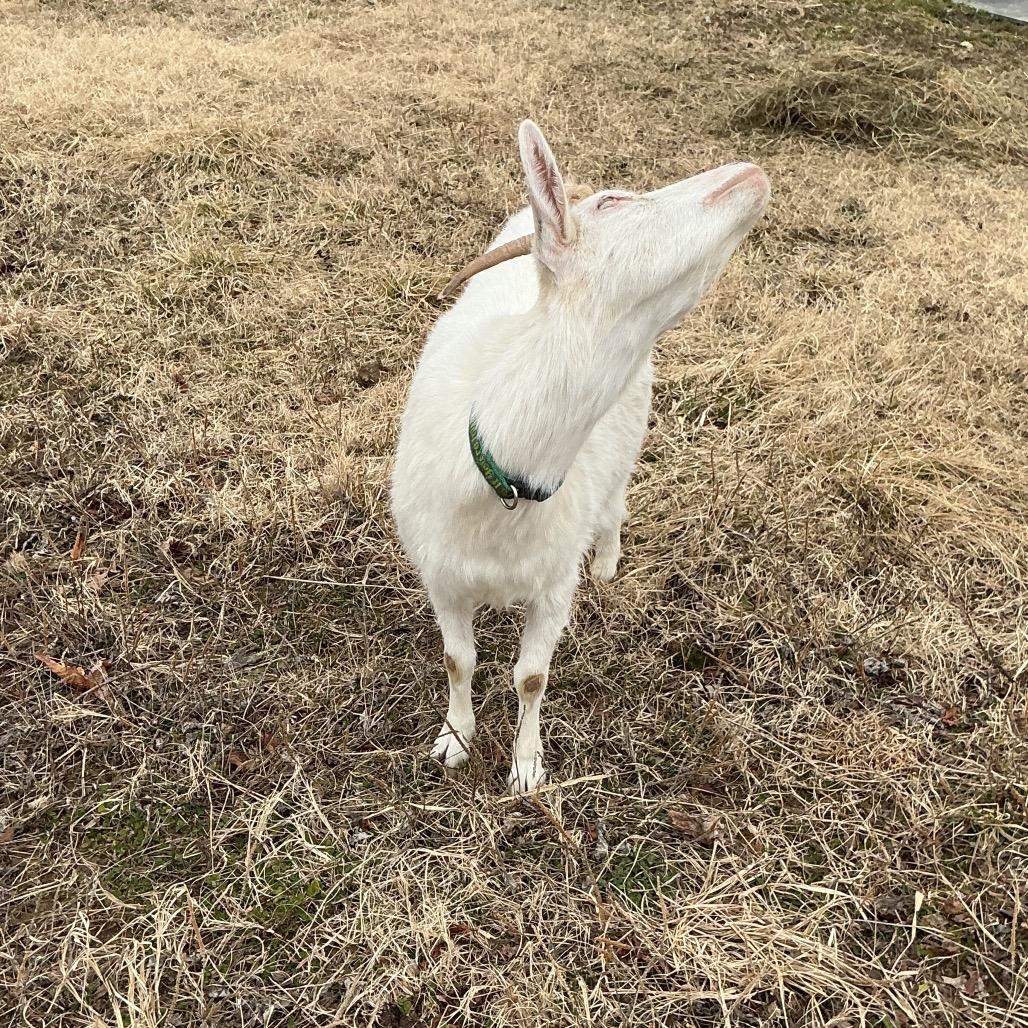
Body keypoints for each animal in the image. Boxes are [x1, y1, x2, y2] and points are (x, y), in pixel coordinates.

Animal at [392, 121, 769, 793]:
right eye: (612, 202)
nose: (750, 173)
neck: (503, 479)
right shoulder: (441, 575)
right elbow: (458, 660)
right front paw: (454, 740)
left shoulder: (553, 583)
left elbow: (531, 677)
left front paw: (525, 768)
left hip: (629, 436)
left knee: (615, 505)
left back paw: (609, 566)